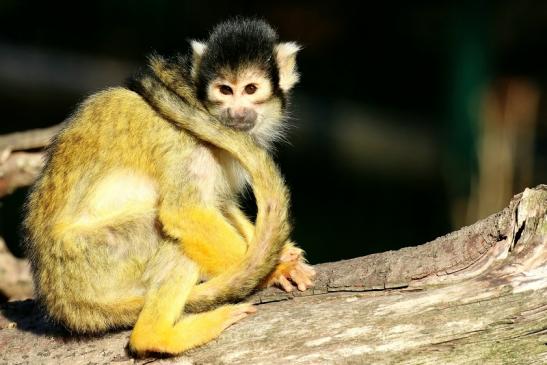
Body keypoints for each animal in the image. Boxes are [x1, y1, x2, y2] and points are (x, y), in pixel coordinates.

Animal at [23, 17, 314, 356]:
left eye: (250, 89)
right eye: (225, 90)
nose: (236, 112)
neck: (196, 98)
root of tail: (62, 301)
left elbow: (221, 203)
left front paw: (283, 255)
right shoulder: (186, 139)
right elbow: (185, 211)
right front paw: (274, 270)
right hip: (93, 261)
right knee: (168, 235)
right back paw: (157, 335)